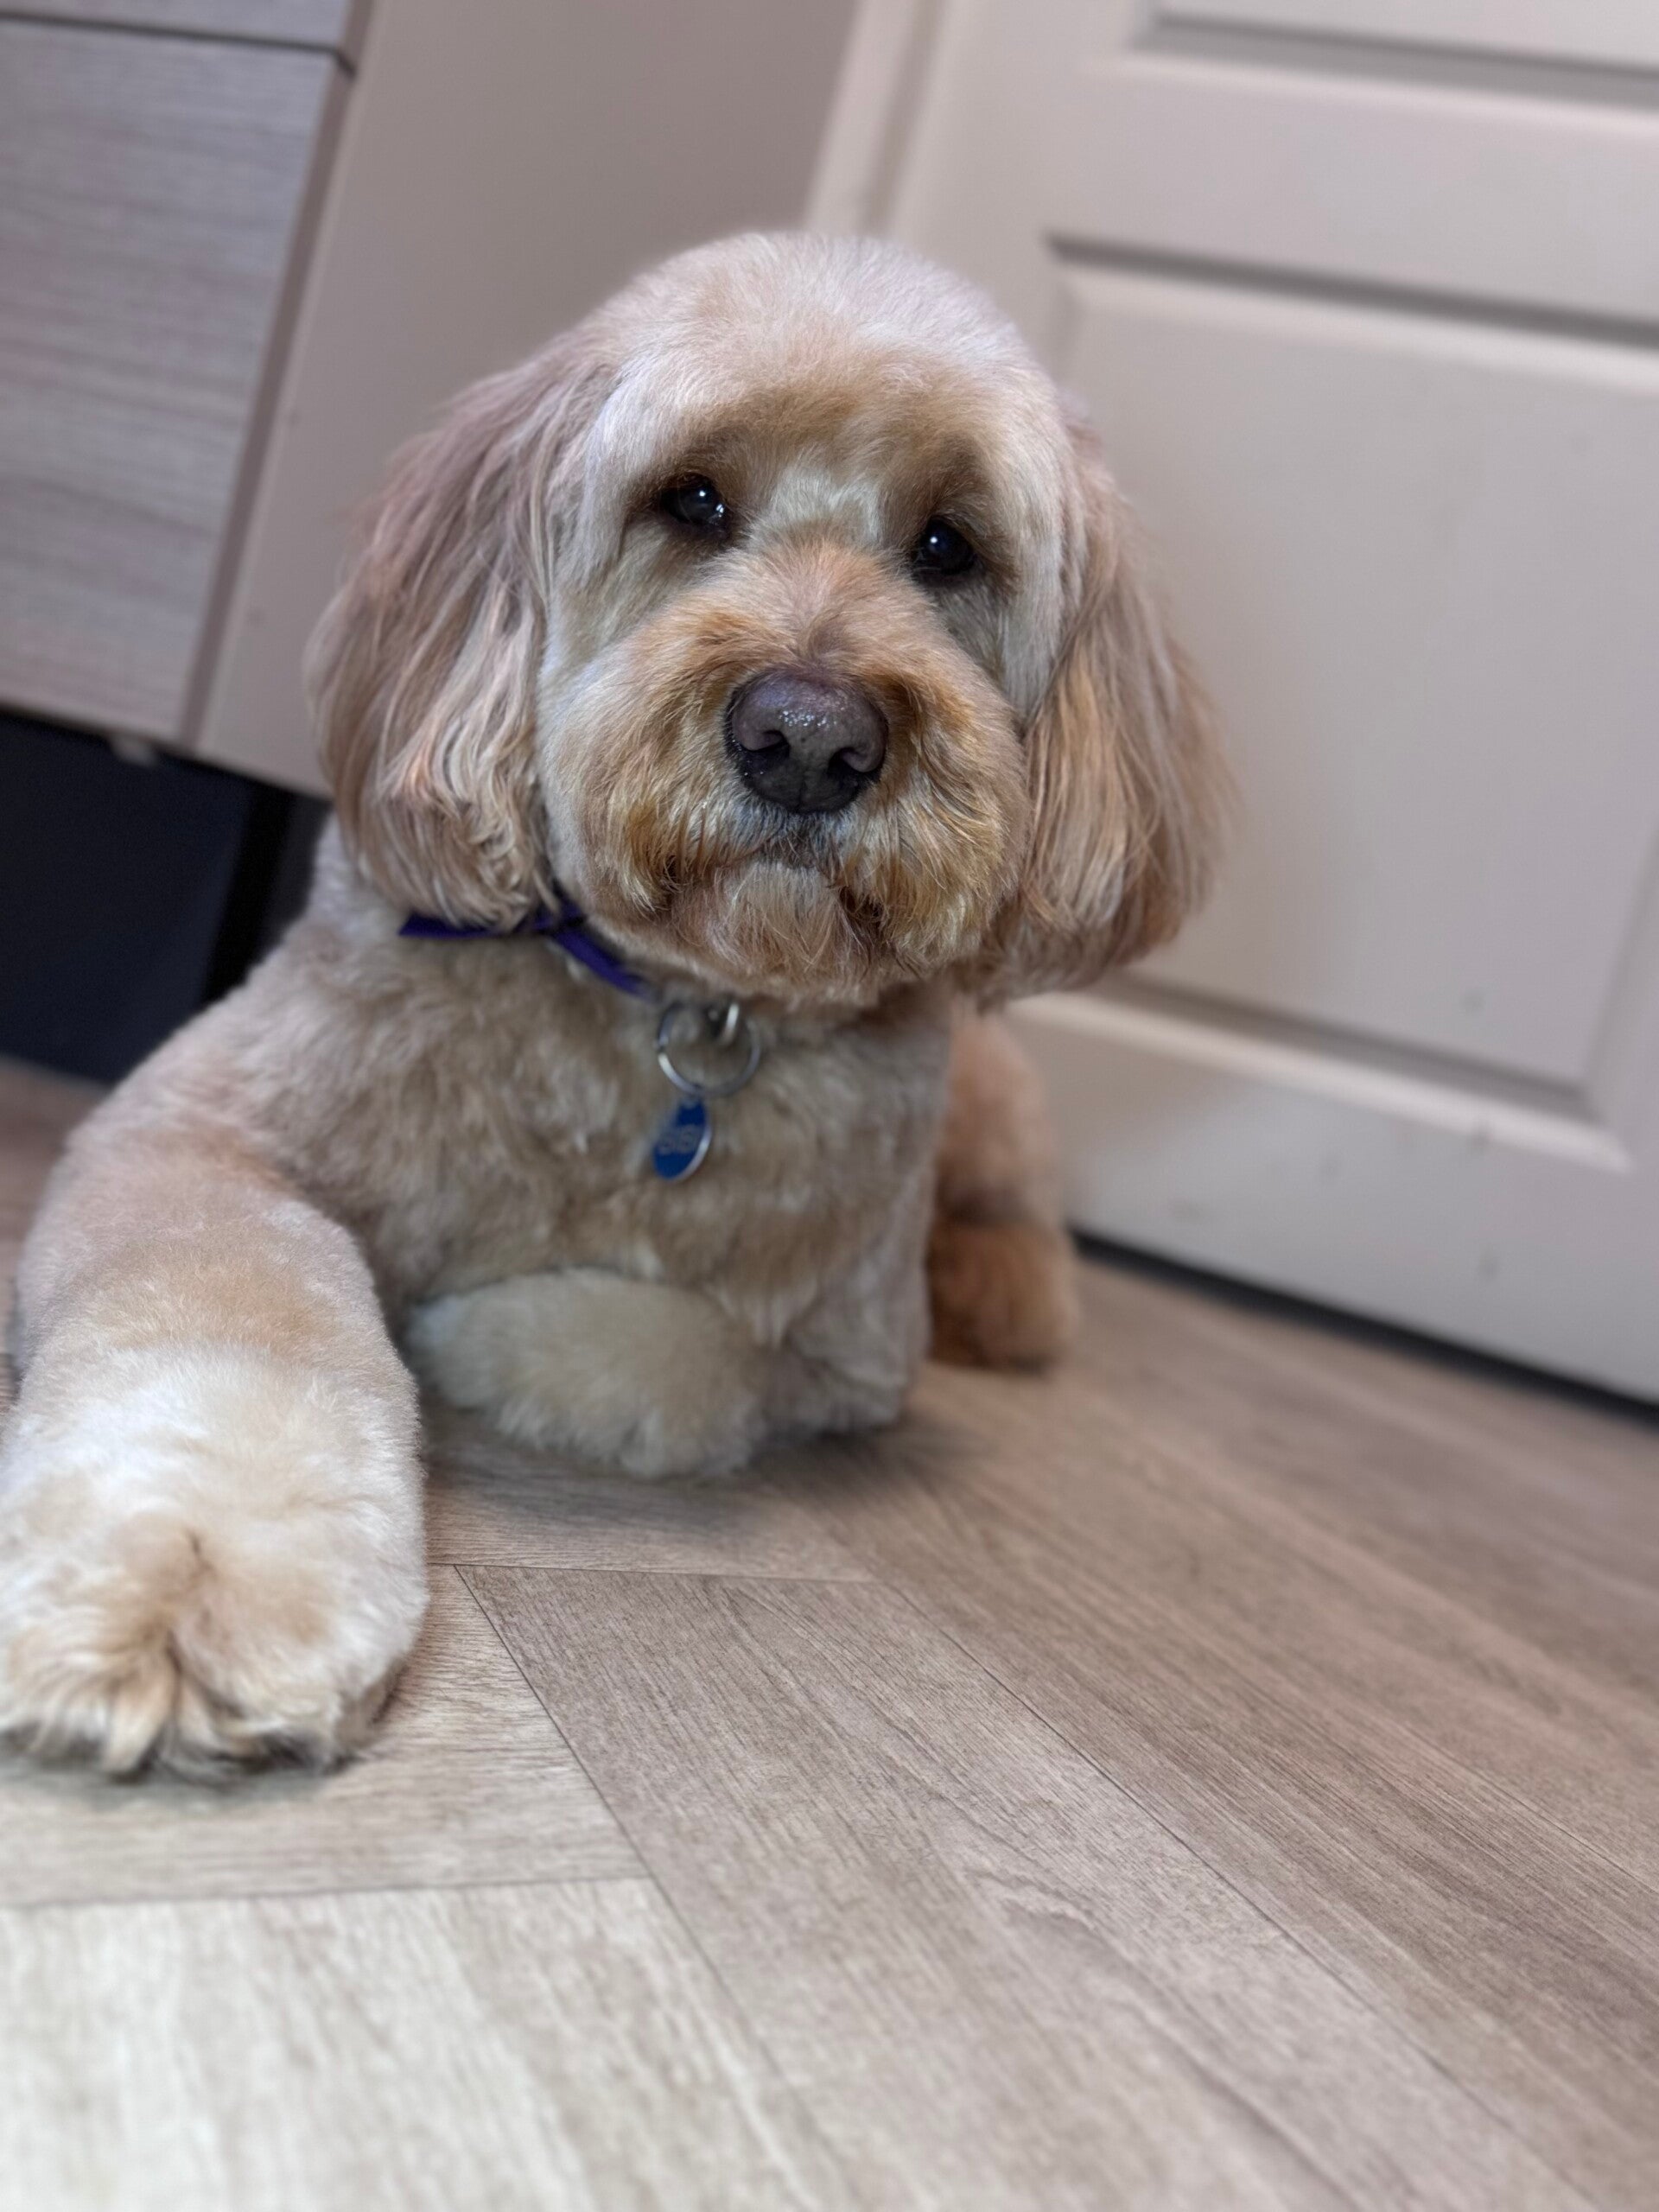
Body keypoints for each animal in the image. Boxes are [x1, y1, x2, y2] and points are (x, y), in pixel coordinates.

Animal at [0, 233, 1218, 1775]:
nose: (809, 739)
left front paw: (472, 1333)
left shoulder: (849, 1346)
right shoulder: (199, 1130)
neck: (667, 1018)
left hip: (994, 1113)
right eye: (691, 499)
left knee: (1027, 1240)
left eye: (949, 544)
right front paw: (186, 1580)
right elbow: (235, 1318)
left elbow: (678, 1362)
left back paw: (999, 1288)